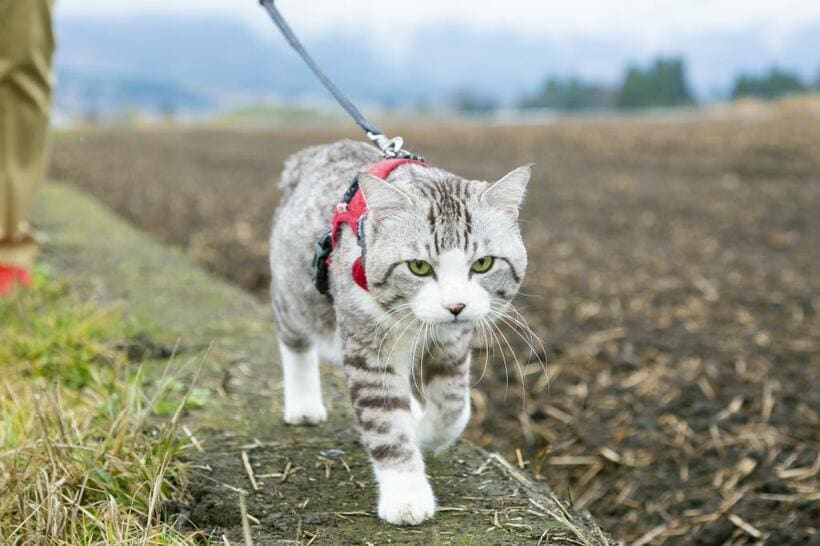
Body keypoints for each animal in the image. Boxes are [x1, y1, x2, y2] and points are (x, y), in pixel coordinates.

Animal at [270, 139, 532, 524]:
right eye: (419, 267)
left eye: (483, 263)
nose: (455, 305)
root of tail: (313, 152)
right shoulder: (368, 348)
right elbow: (387, 423)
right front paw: (406, 495)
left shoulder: (452, 343)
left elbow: (454, 406)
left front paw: (423, 431)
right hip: (294, 293)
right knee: (294, 339)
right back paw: (304, 405)